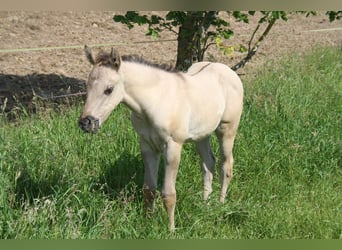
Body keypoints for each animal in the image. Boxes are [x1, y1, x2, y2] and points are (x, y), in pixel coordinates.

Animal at [78, 45, 243, 230]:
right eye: (87, 86)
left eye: (109, 89)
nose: (86, 123)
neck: (157, 100)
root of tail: (229, 71)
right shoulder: (147, 146)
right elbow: (149, 189)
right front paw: (147, 223)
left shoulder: (172, 147)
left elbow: (169, 194)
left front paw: (171, 229)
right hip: (202, 135)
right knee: (208, 164)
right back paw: (205, 204)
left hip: (227, 130)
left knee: (226, 166)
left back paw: (220, 205)